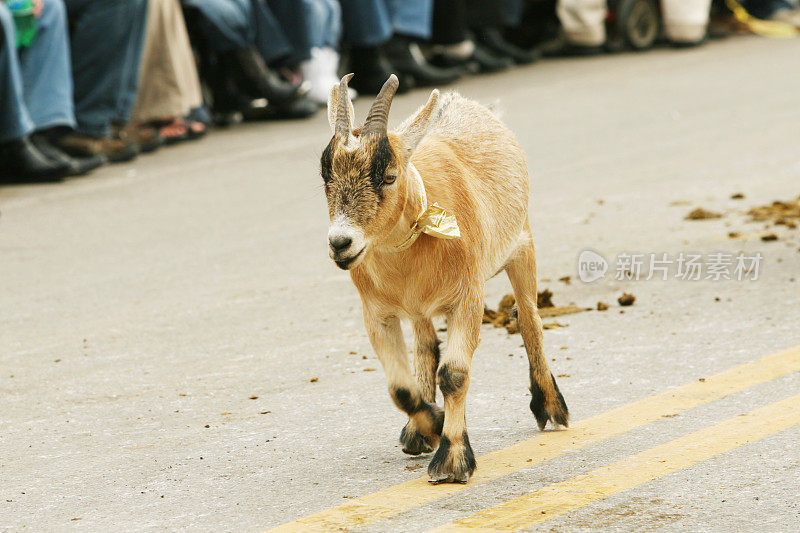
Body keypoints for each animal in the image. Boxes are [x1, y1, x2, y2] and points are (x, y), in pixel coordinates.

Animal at [320, 74, 568, 482]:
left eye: (389, 175)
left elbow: (453, 374)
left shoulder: (467, 298)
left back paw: (550, 405)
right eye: (325, 176)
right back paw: (416, 433)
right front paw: (432, 425)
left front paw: (452, 459)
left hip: (521, 245)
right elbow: (400, 389)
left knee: (530, 321)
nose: (341, 243)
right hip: (419, 309)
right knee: (425, 347)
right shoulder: (378, 313)